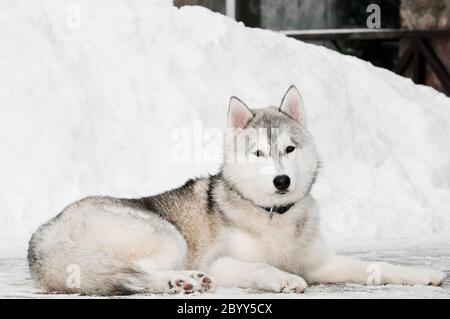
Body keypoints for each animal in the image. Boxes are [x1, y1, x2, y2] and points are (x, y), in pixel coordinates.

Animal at [29, 86, 446, 296]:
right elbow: (260, 266)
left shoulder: (322, 263)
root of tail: (48, 227)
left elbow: (379, 268)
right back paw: (181, 281)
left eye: (288, 149)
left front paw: (423, 275)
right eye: (259, 153)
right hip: (166, 235)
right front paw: (282, 278)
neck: (272, 217)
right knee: (141, 273)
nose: (281, 182)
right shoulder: (217, 261)